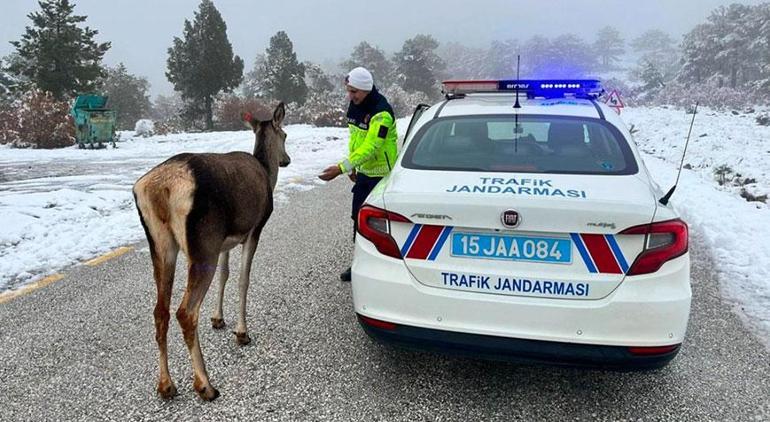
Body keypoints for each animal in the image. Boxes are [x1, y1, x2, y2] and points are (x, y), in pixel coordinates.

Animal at [132, 103, 288, 402]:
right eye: (285, 135)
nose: (286, 160)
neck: (267, 172)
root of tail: (160, 188)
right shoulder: (254, 229)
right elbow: (243, 280)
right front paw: (242, 332)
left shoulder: (225, 241)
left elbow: (224, 276)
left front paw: (218, 318)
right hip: (203, 242)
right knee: (185, 311)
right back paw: (205, 384)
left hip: (162, 245)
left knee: (160, 310)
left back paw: (166, 385)